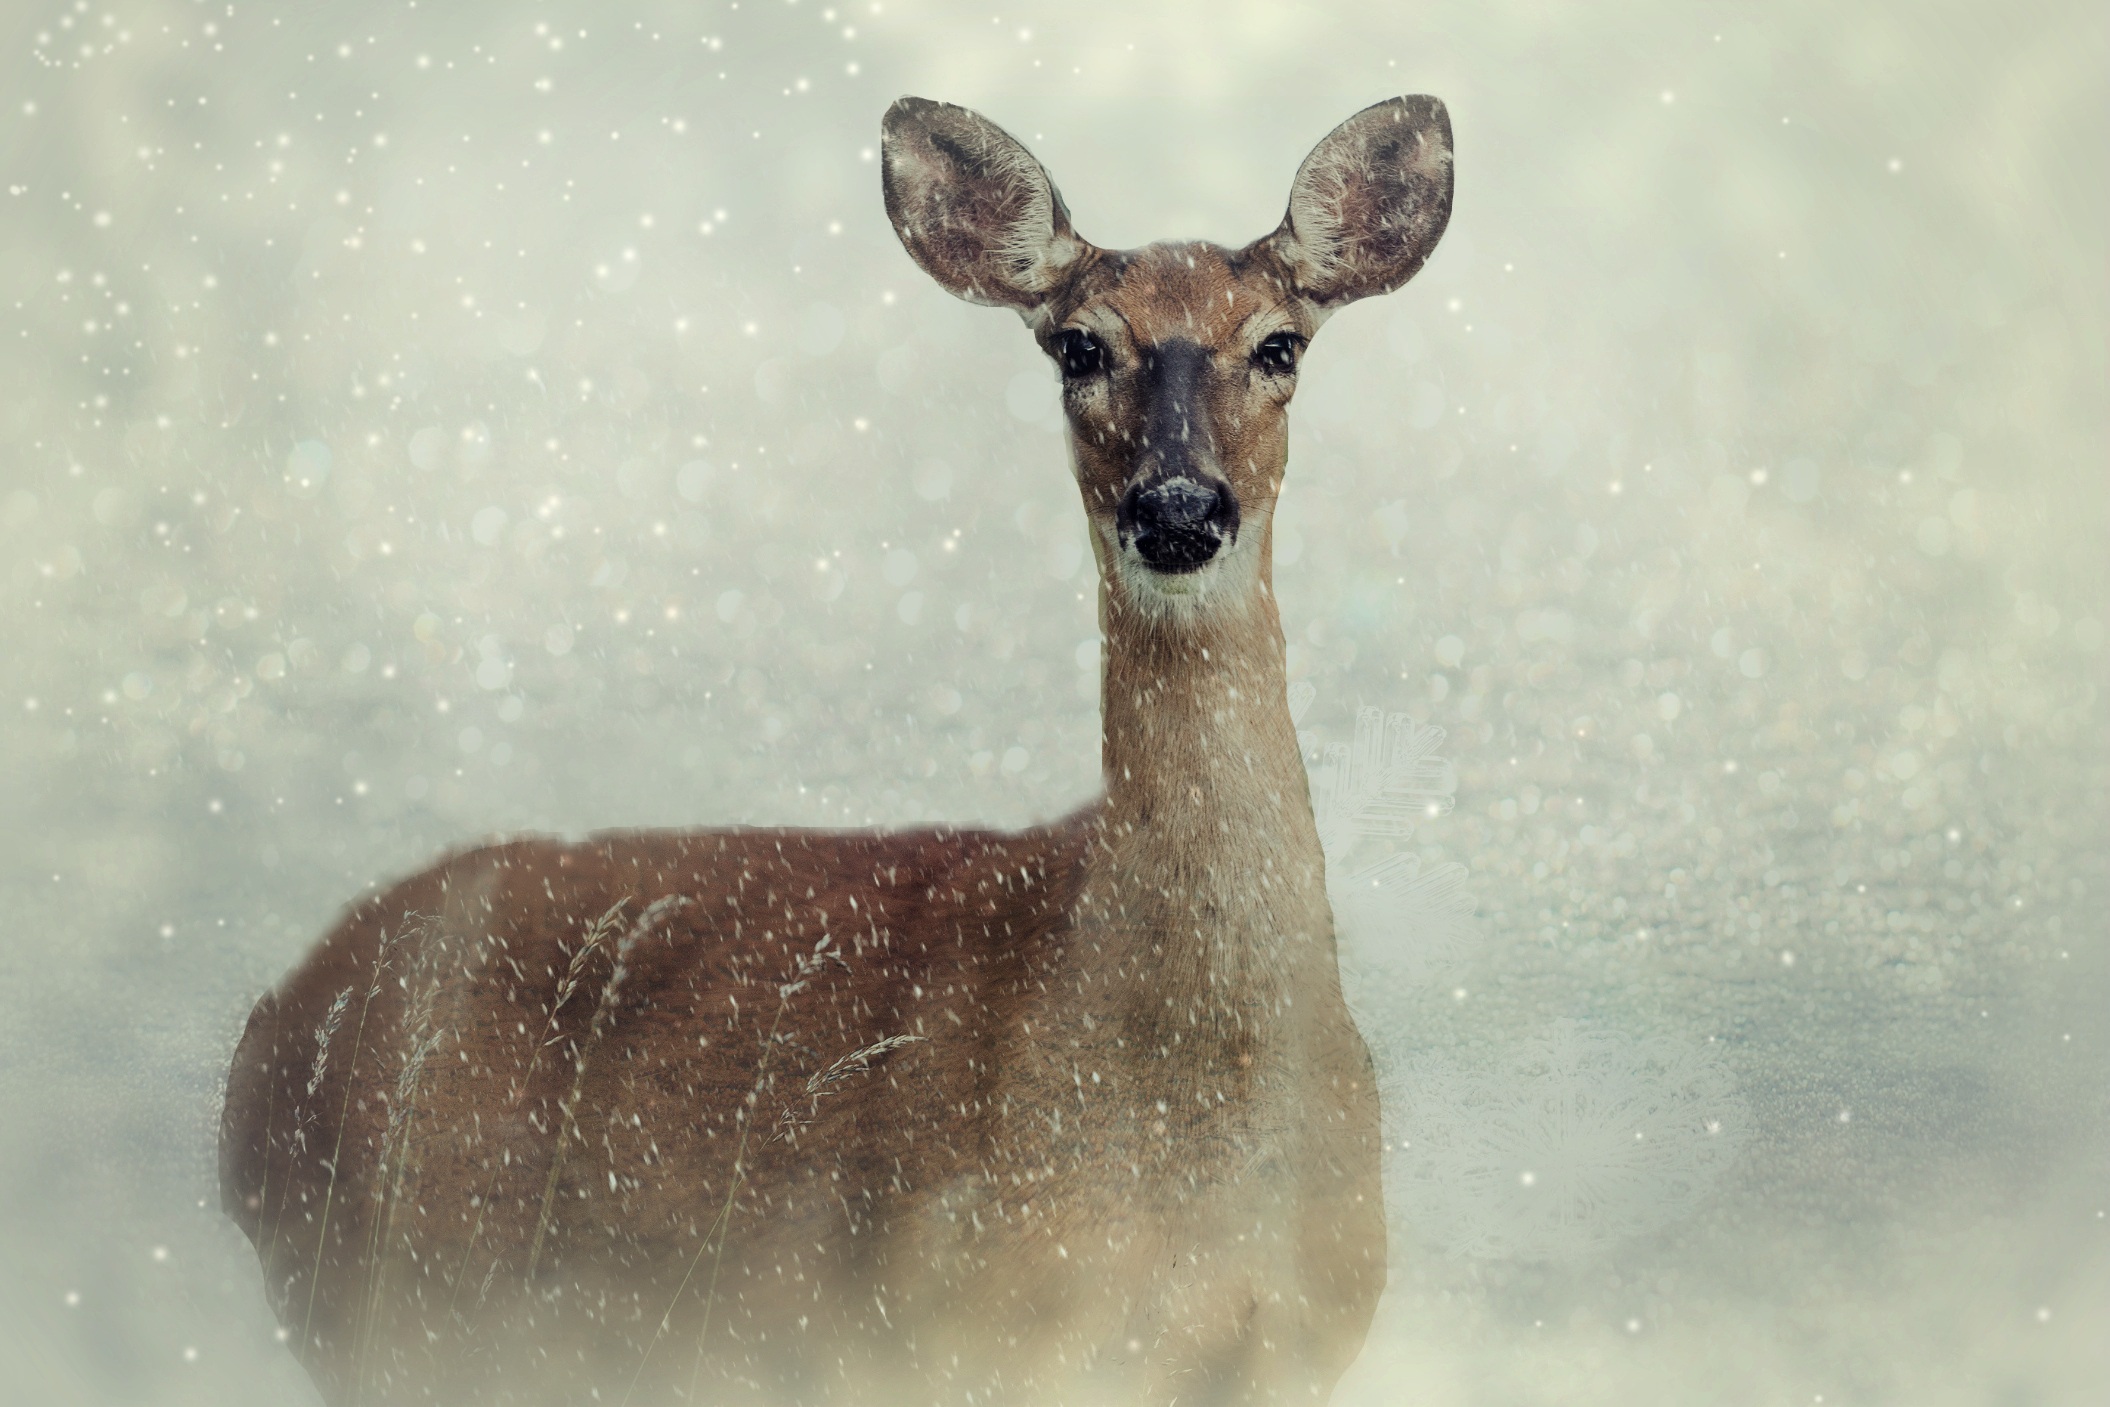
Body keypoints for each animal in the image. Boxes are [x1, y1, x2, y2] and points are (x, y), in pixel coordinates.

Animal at [222, 93, 1460, 1400]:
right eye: (1075, 347)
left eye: (1280, 345)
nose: (1178, 510)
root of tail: (258, 1048)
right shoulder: (955, 1331)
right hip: (395, 1301)